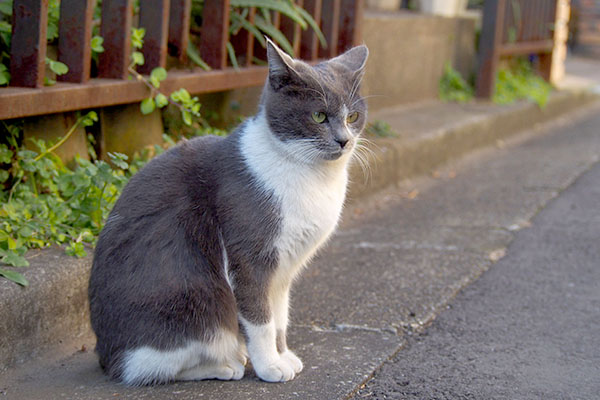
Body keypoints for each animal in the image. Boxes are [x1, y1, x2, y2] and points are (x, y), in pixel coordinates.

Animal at [88, 39, 370, 386]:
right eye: (318, 115)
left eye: (353, 116)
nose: (344, 140)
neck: (312, 177)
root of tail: (105, 356)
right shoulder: (250, 258)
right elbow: (261, 320)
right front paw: (270, 366)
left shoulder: (283, 270)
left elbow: (279, 317)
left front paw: (283, 355)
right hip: (194, 304)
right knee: (150, 367)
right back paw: (226, 364)